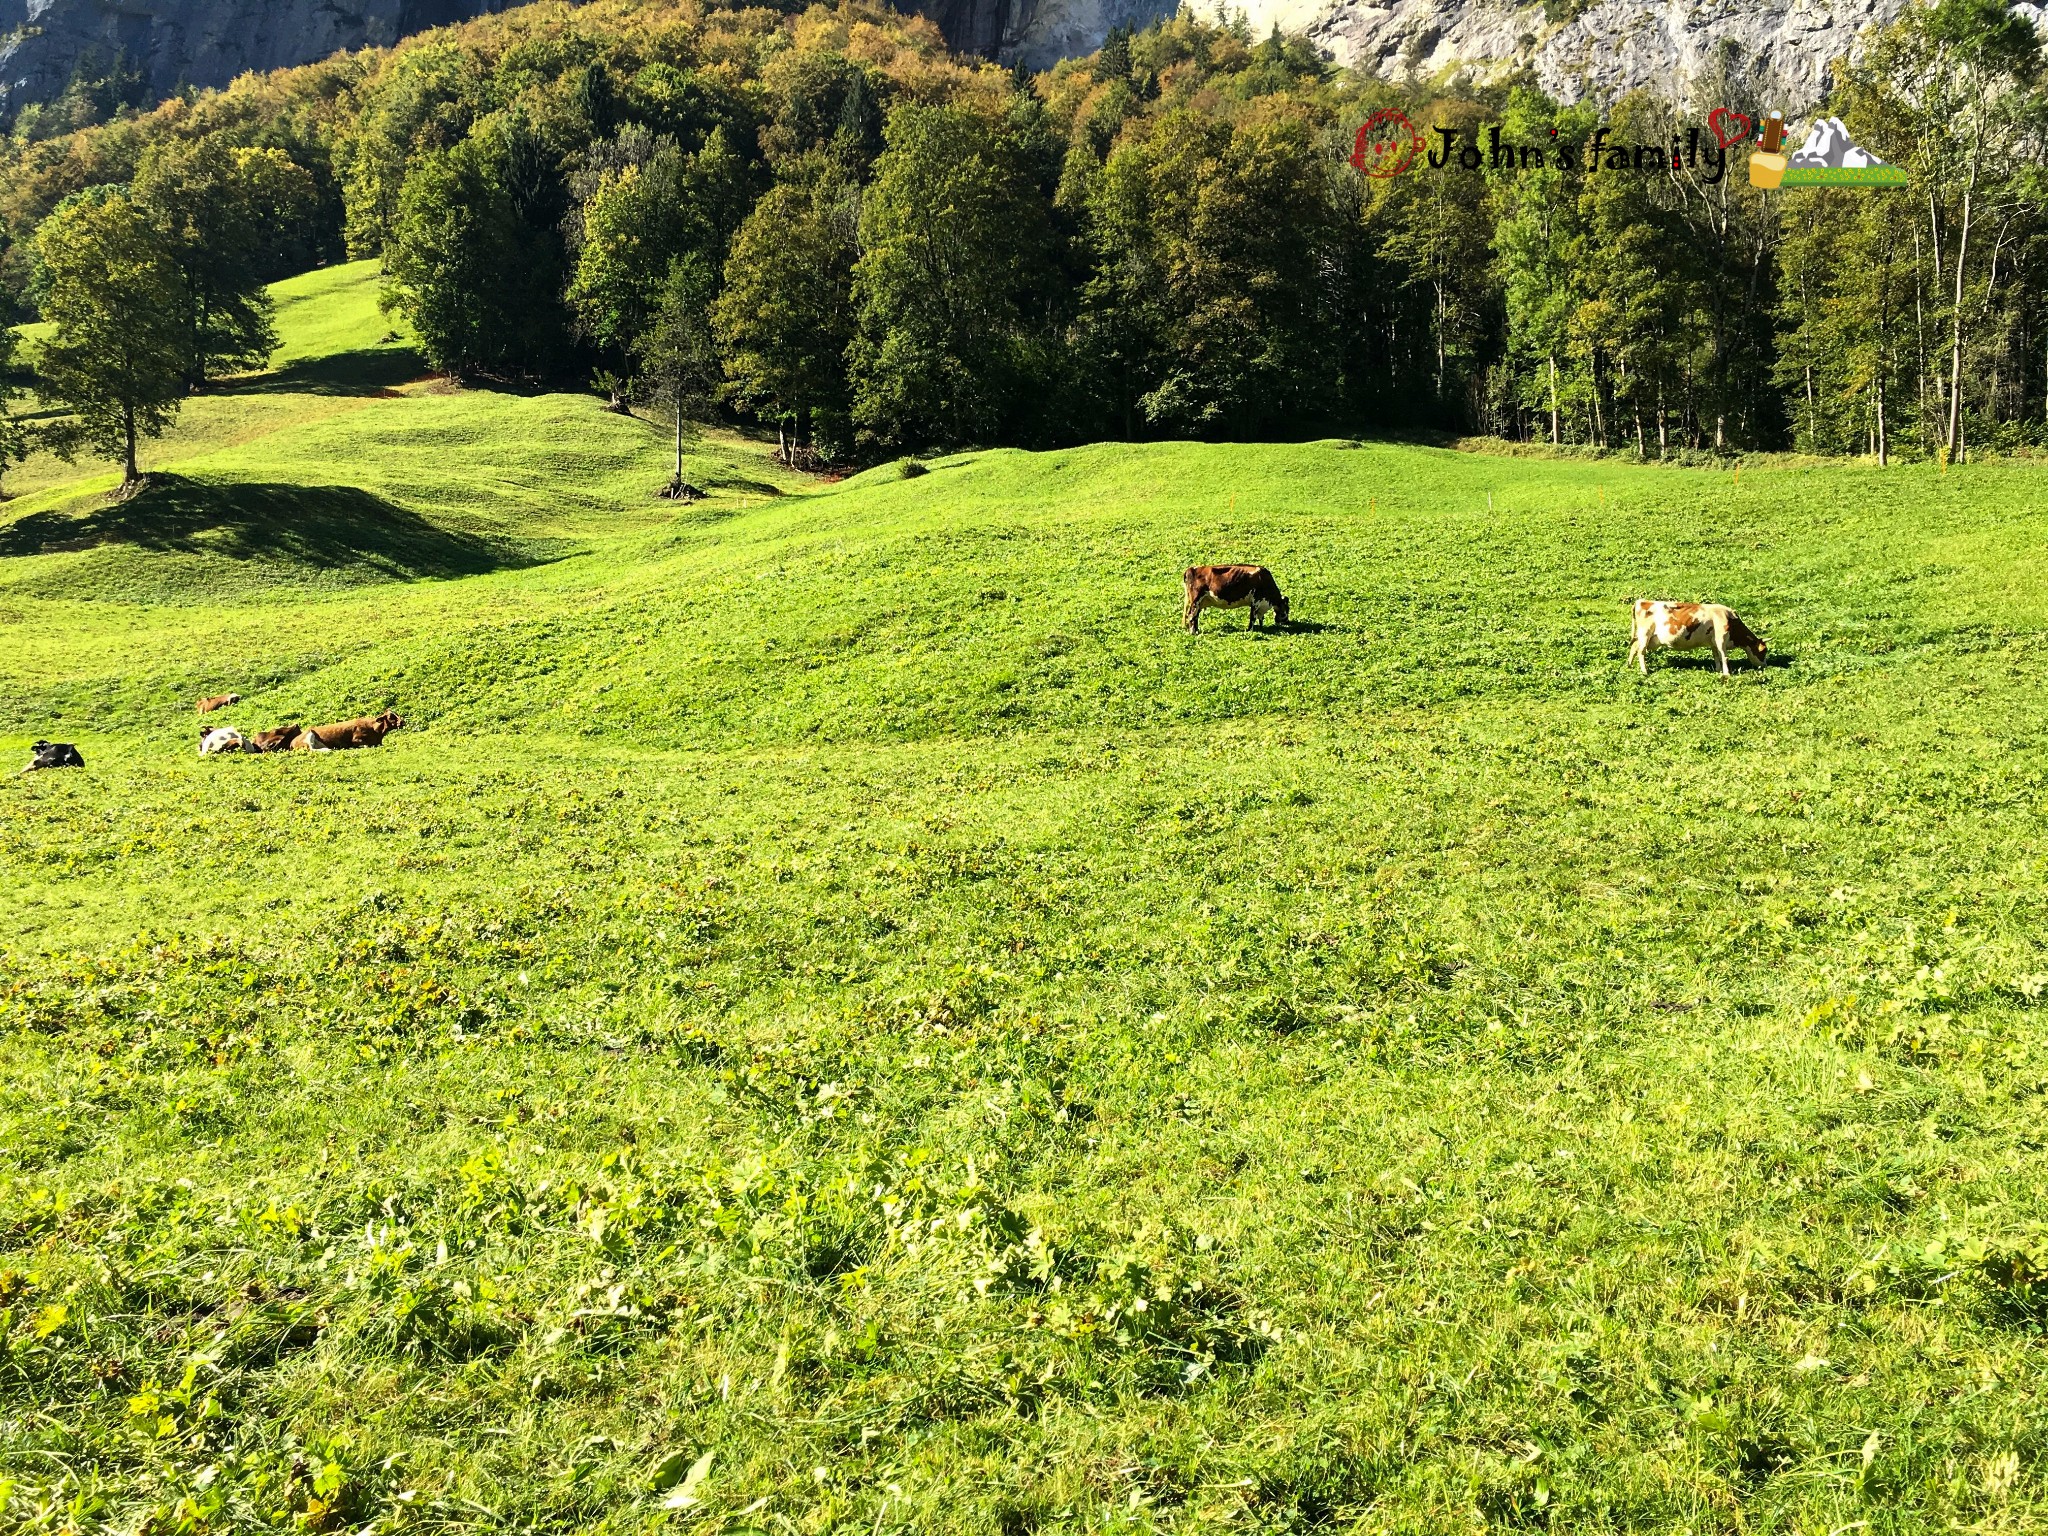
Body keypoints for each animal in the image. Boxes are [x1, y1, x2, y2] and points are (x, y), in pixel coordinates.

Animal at [1622, 598, 1769, 675]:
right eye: (1763, 651)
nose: (1765, 665)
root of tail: (1642, 601)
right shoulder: (1721, 638)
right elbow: (1724, 656)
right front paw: (1727, 673)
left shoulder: (1713, 641)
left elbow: (1716, 655)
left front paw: (1718, 669)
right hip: (1645, 634)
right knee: (1641, 651)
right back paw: (1645, 671)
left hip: (1650, 638)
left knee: (1634, 646)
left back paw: (1629, 665)